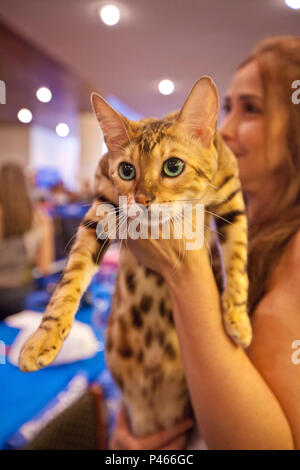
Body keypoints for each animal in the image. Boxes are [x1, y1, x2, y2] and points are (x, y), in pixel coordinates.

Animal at [19, 76, 252, 436]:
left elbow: (238, 262)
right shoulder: (101, 208)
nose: (142, 199)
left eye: (173, 166)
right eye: (126, 170)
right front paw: (44, 338)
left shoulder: (232, 199)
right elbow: (69, 280)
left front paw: (238, 318)